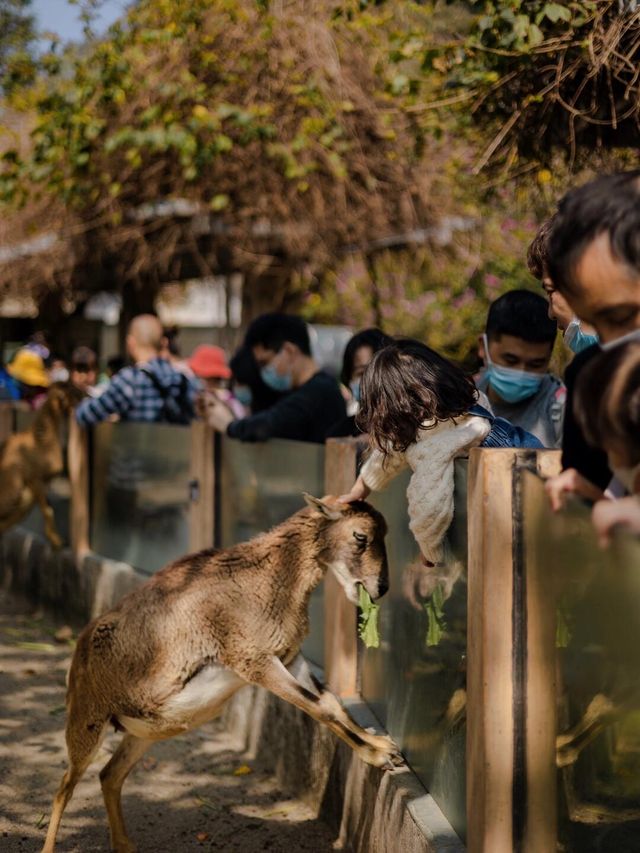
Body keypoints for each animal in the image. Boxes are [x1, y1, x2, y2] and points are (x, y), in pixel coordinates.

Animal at [0, 382, 84, 548]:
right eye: (72, 391)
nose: (87, 396)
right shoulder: (35, 478)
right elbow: (47, 510)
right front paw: (57, 541)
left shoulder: (41, 484)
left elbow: (49, 509)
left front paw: (55, 540)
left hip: (22, 499)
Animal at [41, 492, 400, 852]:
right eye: (360, 536)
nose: (380, 587)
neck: (267, 580)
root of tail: (80, 650)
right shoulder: (256, 663)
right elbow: (319, 709)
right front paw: (379, 756)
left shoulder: (290, 658)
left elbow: (331, 704)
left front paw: (385, 747)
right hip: (87, 723)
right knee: (64, 787)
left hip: (143, 734)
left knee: (109, 776)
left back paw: (125, 845)